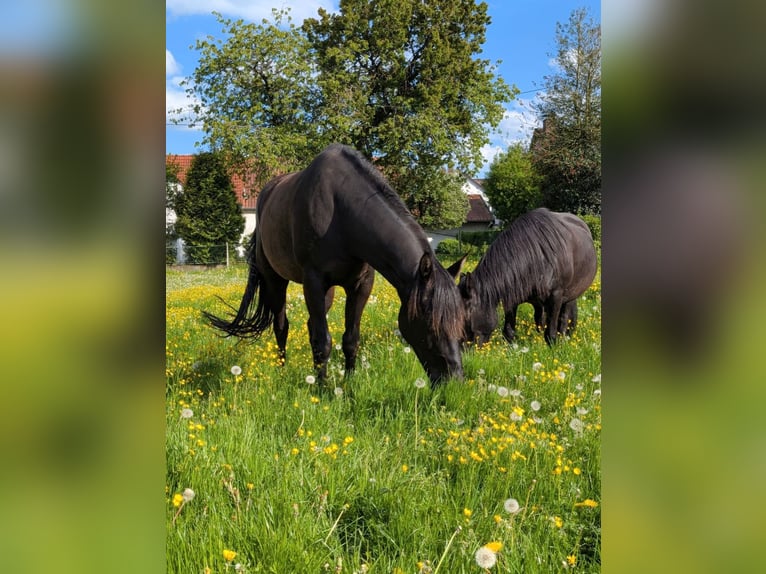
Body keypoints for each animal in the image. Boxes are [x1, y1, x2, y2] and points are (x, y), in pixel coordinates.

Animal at [204, 144, 466, 386]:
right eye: (431, 324)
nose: (454, 380)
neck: (342, 214)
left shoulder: (361, 285)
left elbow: (350, 338)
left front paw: (348, 382)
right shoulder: (313, 281)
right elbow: (323, 341)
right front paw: (321, 388)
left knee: (310, 325)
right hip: (275, 280)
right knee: (281, 326)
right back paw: (283, 370)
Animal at [458, 208, 597, 346]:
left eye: (466, 316)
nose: (462, 349)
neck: (539, 257)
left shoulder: (556, 296)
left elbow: (551, 333)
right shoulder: (512, 297)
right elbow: (509, 331)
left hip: (569, 296)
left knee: (563, 319)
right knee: (540, 319)